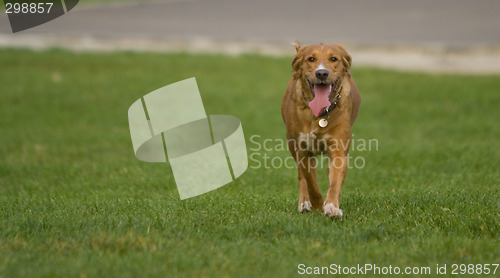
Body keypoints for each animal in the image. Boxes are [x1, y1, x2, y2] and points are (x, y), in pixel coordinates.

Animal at [282, 42, 360, 218]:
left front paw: (331, 207)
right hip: (291, 143)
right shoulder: (303, 149)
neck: (319, 115)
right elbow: (311, 184)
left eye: (334, 59)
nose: (322, 73)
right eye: (311, 59)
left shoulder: (339, 149)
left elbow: (335, 181)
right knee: (302, 176)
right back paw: (304, 203)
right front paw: (317, 206)